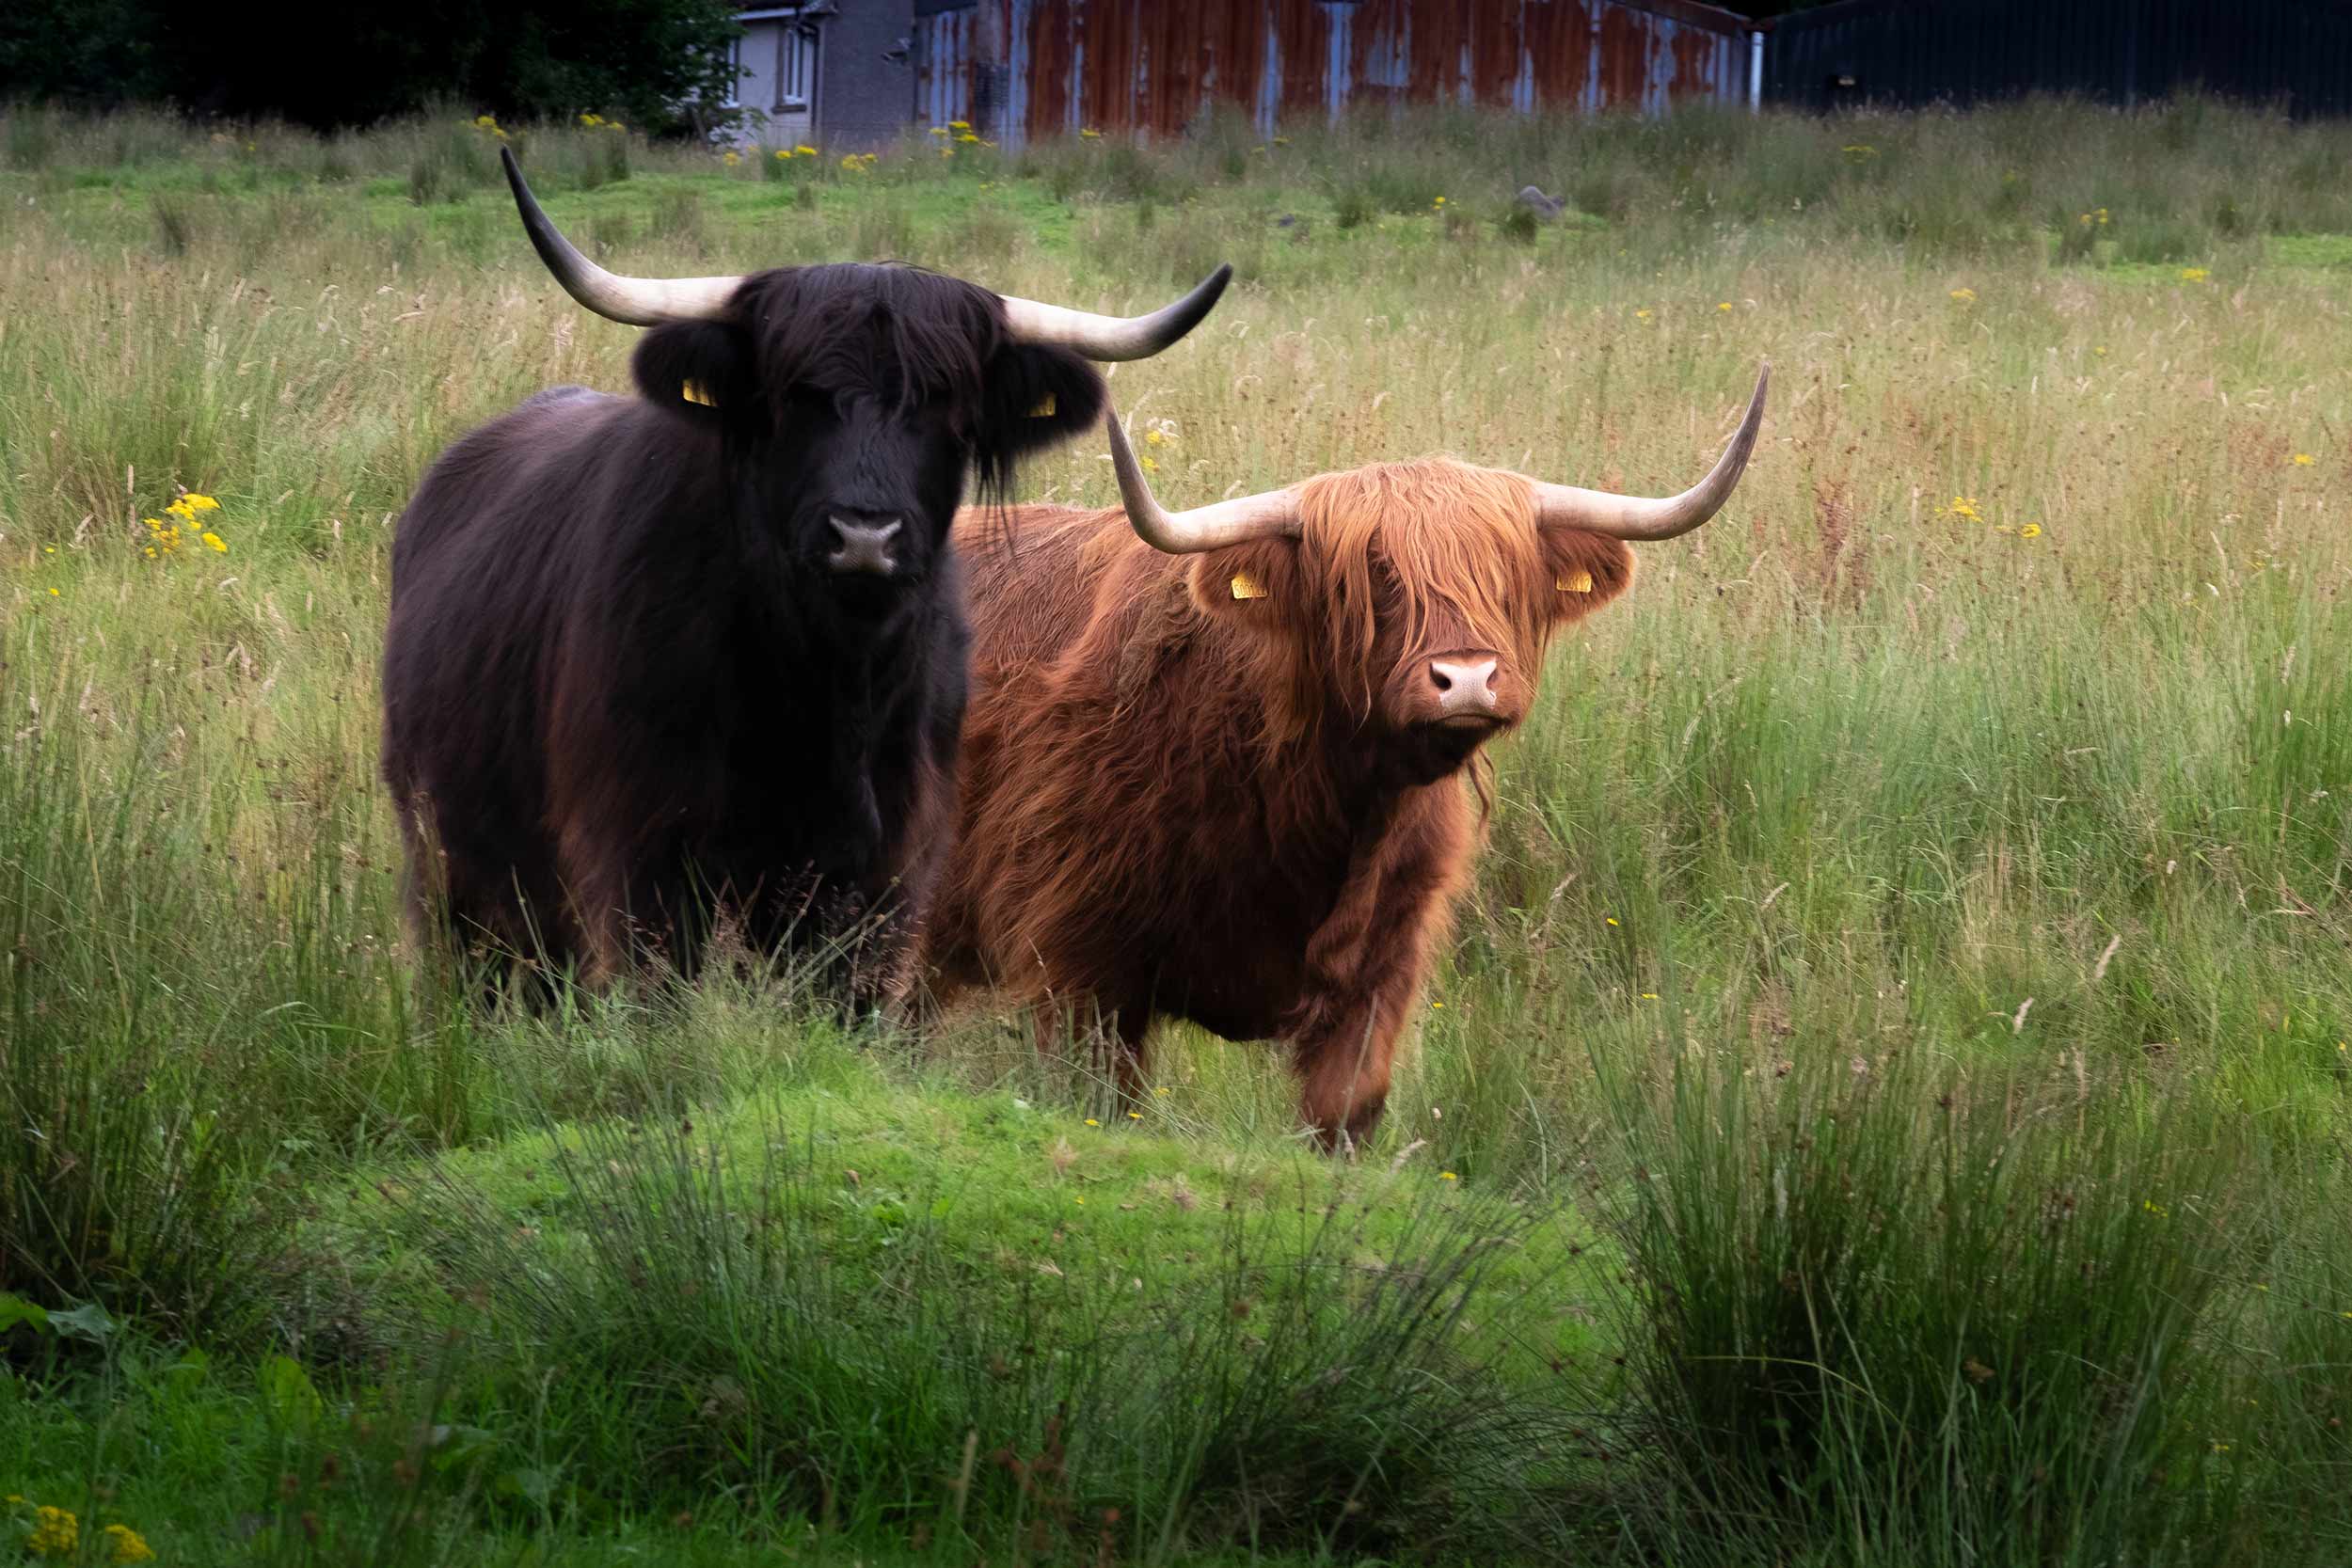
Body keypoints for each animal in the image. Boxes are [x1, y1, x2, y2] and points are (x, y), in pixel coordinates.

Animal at [386, 150, 1232, 1006]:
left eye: (946, 406)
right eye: (795, 397)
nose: (864, 535)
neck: (822, 686)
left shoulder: (882, 876)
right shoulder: (640, 857)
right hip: (458, 873)